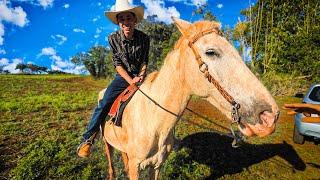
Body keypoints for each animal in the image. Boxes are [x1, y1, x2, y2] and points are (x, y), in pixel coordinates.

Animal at [99, 17, 278, 179]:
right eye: (211, 52)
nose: (270, 116)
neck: (153, 119)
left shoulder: (156, 165)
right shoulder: (136, 167)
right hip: (107, 144)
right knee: (111, 167)